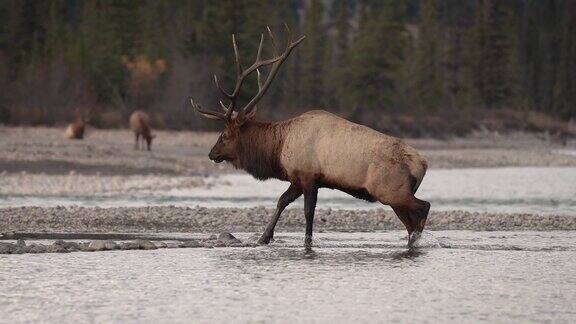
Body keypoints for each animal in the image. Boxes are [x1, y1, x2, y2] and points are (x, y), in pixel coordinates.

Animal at [191, 25, 430, 247]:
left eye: (224, 134)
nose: (212, 153)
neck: (278, 149)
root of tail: (422, 164)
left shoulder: (307, 176)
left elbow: (307, 212)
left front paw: (305, 243)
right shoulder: (298, 179)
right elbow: (282, 201)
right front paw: (264, 237)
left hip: (389, 190)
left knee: (423, 207)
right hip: (394, 197)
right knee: (410, 222)